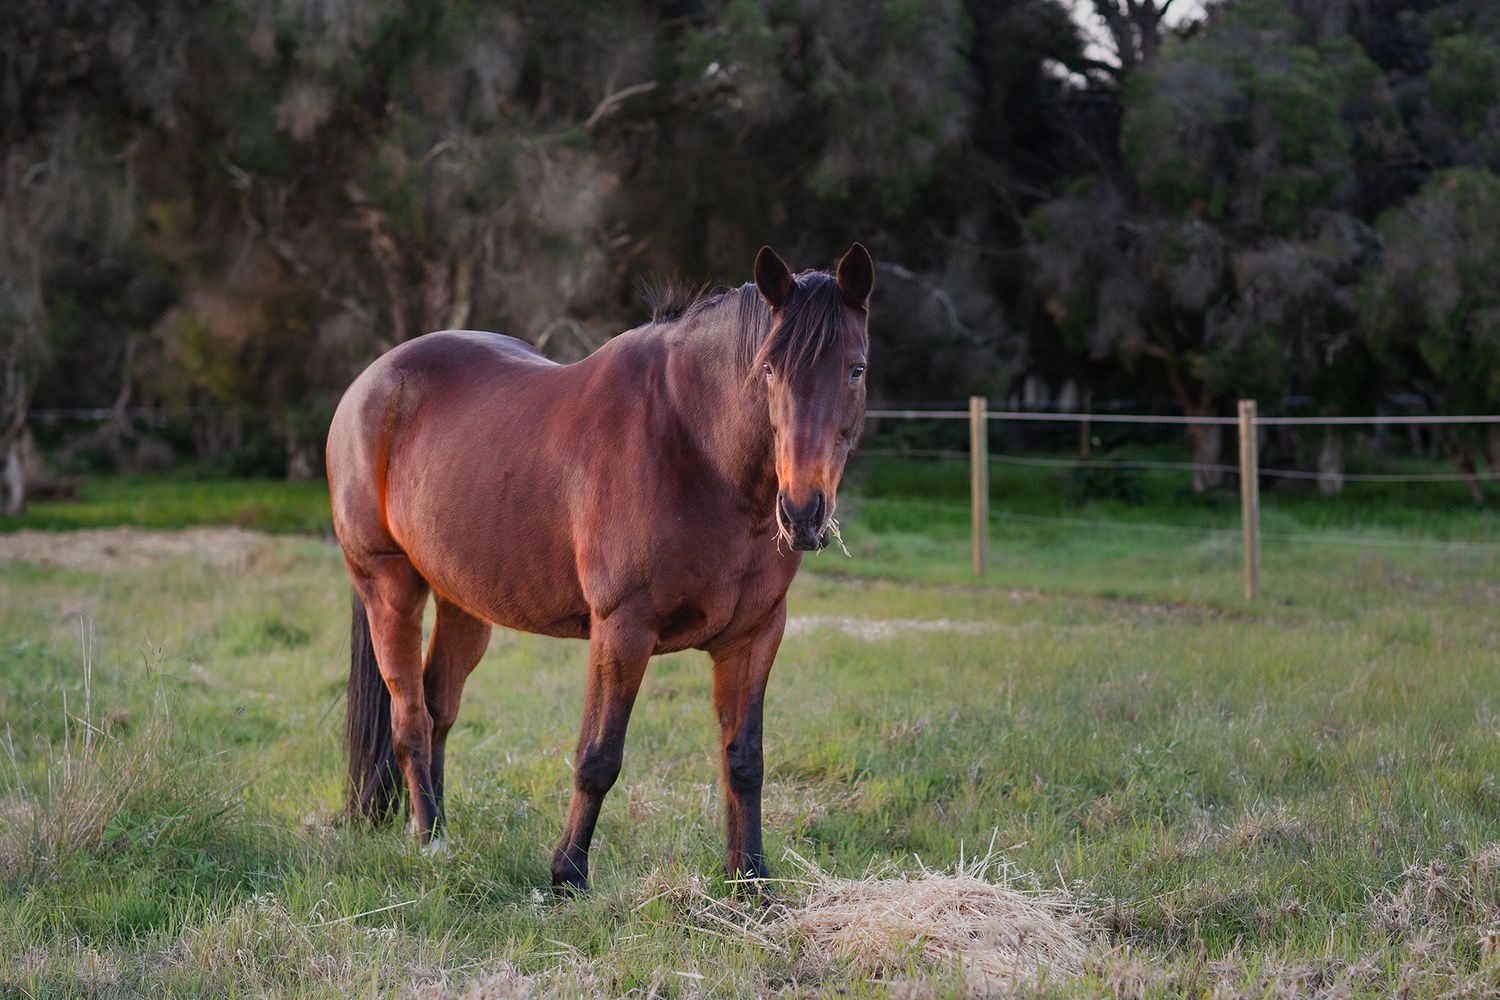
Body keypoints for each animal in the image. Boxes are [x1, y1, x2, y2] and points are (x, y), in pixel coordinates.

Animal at [326, 242, 873, 891]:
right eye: (768, 371)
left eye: (856, 369)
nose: (804, 511)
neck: (696, 447)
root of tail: (369, 382)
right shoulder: (622, 629)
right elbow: (599, 757)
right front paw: (567, 875)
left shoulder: (756, 636)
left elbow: (744, 761)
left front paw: (751, 881)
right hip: (389, 586)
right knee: (409, 716)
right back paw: (430, 839)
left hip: (462, 601)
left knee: (438, 708)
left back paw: (436, 826)